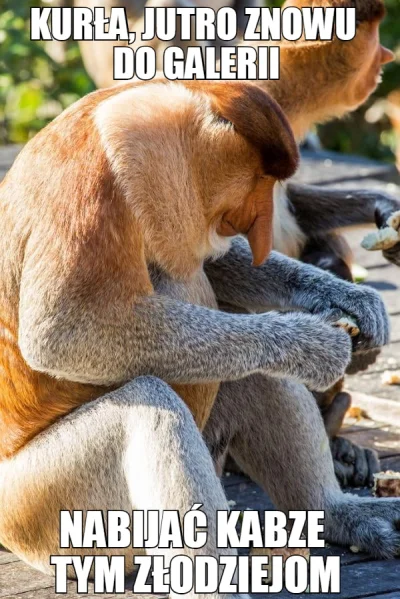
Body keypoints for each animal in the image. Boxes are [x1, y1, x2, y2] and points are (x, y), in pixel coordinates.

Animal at [0, 78, 398, 584]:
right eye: (260, 180)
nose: (262, 226)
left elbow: (214, 263)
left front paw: (352, 303)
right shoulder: (89, 190)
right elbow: (61, 334)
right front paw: (311, 345)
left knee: (255, 373)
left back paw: (337, 512)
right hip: (44, 507)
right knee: (150, 406)